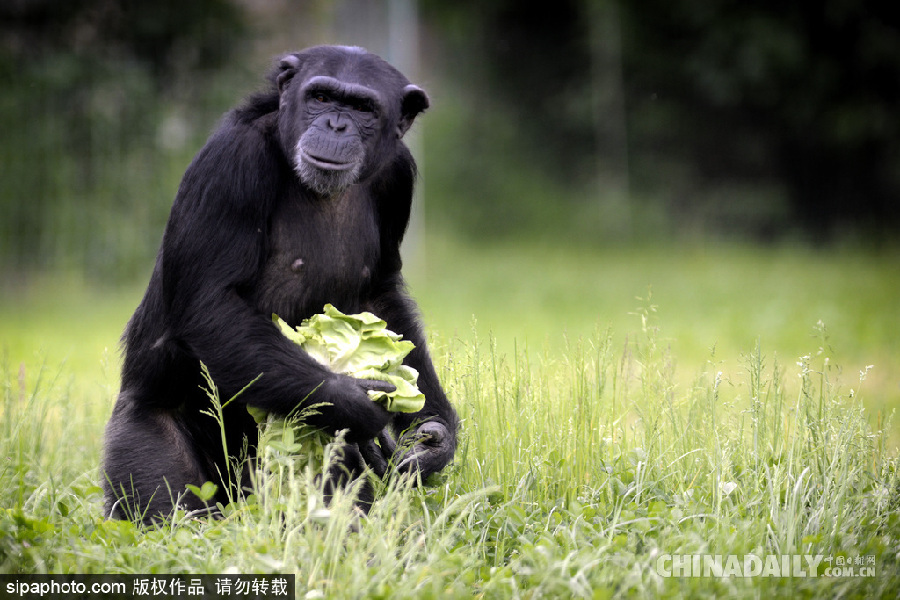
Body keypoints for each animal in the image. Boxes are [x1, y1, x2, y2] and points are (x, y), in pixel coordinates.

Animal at [102, 44, 460, 524]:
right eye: (322, 97)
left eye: (363, 108)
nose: (336, 125)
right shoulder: (231, 159)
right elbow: (210, 300)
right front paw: (350, 400)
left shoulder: (398, 174)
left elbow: (381, 293)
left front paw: (431, 435)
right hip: (143, 435)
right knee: (166, 501)